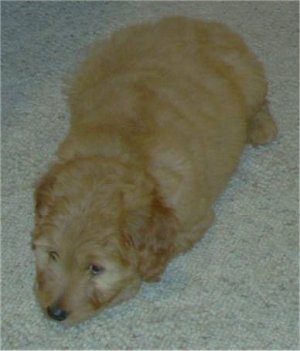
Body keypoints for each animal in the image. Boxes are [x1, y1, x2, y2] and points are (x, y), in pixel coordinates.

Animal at [32, 16, 276, 324]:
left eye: (95, 268)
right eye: (52, 254)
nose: (55, 313)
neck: (123, 156)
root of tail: (199, 22)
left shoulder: (193, 220)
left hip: (250, 78)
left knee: (260, 101)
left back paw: (262, 127)